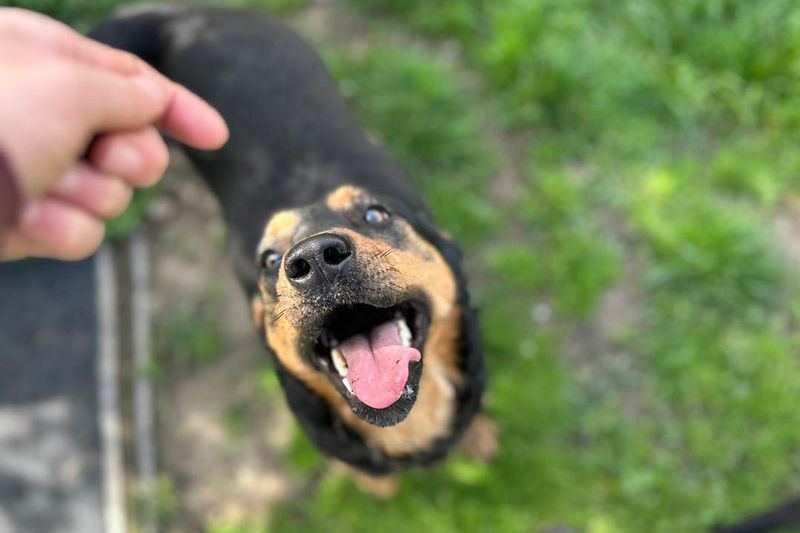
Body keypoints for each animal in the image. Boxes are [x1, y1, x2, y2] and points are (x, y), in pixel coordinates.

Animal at [91, 6, 496, 493]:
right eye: (268, 259)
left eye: (376, 214)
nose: (316, 258)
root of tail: (185, 17)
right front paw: (378, 486)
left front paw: (478, 439)